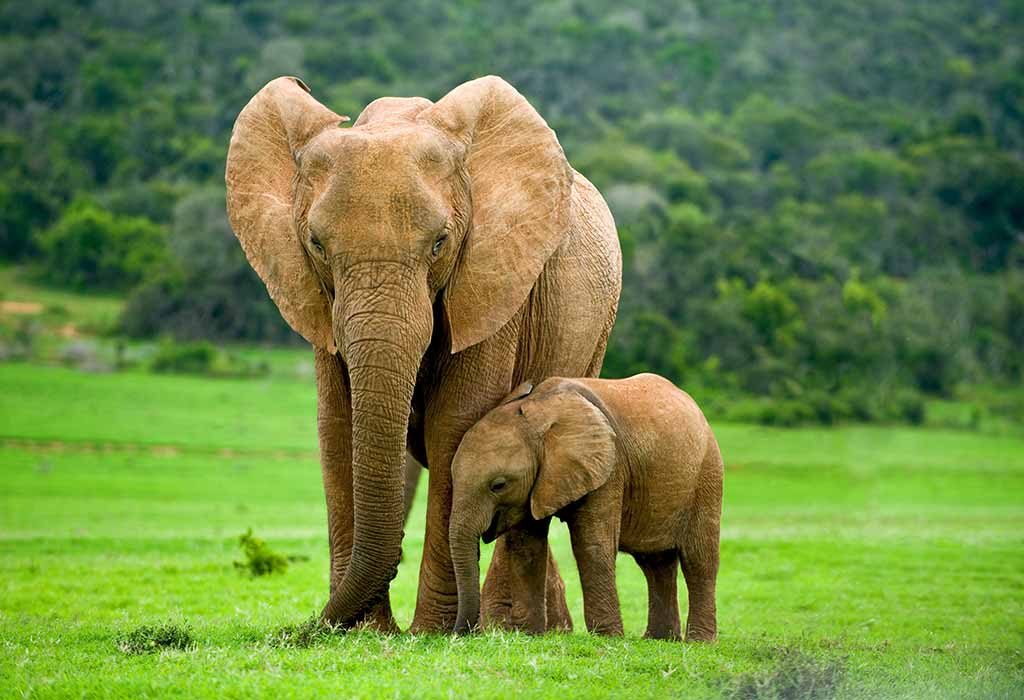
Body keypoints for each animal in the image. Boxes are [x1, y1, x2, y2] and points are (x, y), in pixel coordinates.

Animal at [227, 76, 618, 634]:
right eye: (316, 244)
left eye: (440, 243)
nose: (309, 628)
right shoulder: (317, 299)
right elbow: (338, 423)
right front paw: (367, 631)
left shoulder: (492, 278)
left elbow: (454, 424)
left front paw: (431, 632)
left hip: (595, 332)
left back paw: (512, 627)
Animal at [448, 374, 720, 642]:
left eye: (499, 485)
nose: (460, 634)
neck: (540, 413)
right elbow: (527, 547)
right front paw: (529, 635)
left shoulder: (609, 467)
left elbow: (592, 544)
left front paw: (607, 638)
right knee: (655, 563)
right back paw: (659, 639)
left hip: (707, 475)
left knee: (699, 560)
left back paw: (699, 642)